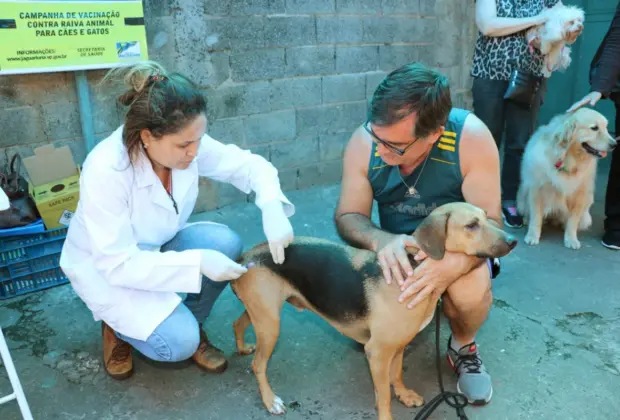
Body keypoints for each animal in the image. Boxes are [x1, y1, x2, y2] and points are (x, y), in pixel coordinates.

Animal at [230, 202, 516, 418]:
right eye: (471, 225)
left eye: (486, 217)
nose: (513, 240)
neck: (413, 268)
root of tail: (245, 258)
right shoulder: (377, 353)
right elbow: (384, 396)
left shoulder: (399, 346)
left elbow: (397, 374)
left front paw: (404, 394)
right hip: (271, 325)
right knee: (258, 365)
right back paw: (270, 400)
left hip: (262, 314)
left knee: (238, 323)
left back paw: (243, 347)